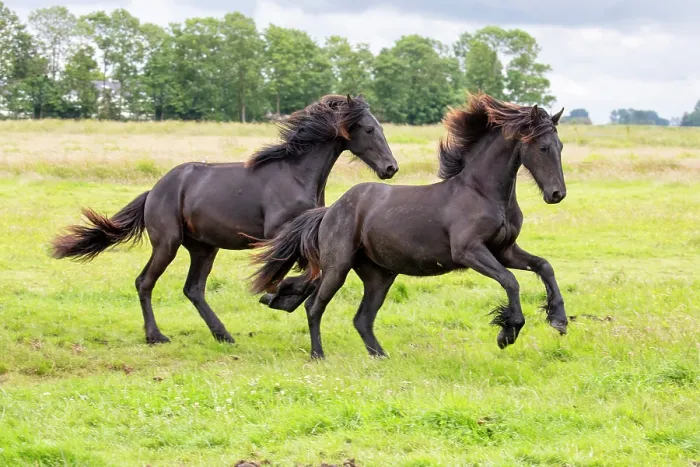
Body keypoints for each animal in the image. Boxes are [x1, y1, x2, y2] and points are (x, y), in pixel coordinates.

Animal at [51, 94, 398, 345]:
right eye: (369, 129)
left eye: (381, 128)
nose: (390, 168)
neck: (296, 175)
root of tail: (155, 189)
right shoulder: (280, 234)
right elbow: (306, 273)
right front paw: (278, 296)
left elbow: (314, 274)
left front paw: (282, 296)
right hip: (167, 243)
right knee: (145, 282)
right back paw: (156, 336)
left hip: (204, 248)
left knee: (193, 289)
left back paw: (223, 335)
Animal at [249, 93, 568, 359]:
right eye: (542, 147)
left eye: (560, 146)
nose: (557, 194)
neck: (483, 193)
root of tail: (330, 211)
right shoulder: (470, 252)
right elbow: (510, 281)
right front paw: (508, 332)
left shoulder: (505, 250)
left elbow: (544, 266)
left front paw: (558, 320)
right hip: (337, 267)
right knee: (314, 306)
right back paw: (318, 355)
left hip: (379, 276)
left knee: (362, 318)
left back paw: (381, 357)